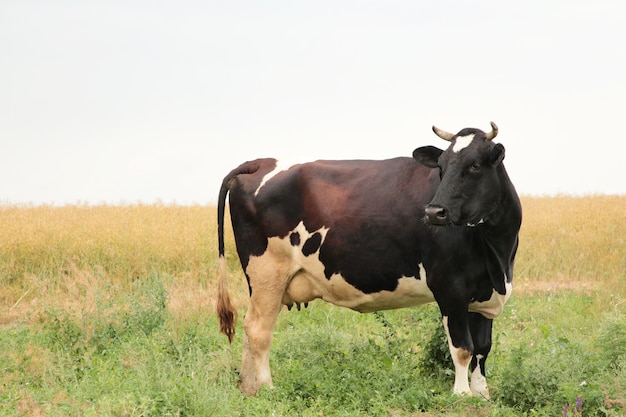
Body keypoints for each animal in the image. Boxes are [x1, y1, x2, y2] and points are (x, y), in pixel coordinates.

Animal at [217, 120, 520, 396]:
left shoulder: (484, 293)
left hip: (263, 282)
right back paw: (267, 389)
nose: (434, 212)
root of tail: (261, 162)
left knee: (250, 328)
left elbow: (482, 348)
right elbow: (462, 348)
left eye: (474, 166)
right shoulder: (450, 288)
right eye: (441, 167)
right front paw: (461, 395)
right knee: (258, 330)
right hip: (268, 272)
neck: (496, 255)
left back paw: (248, 388)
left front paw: (482, 395)